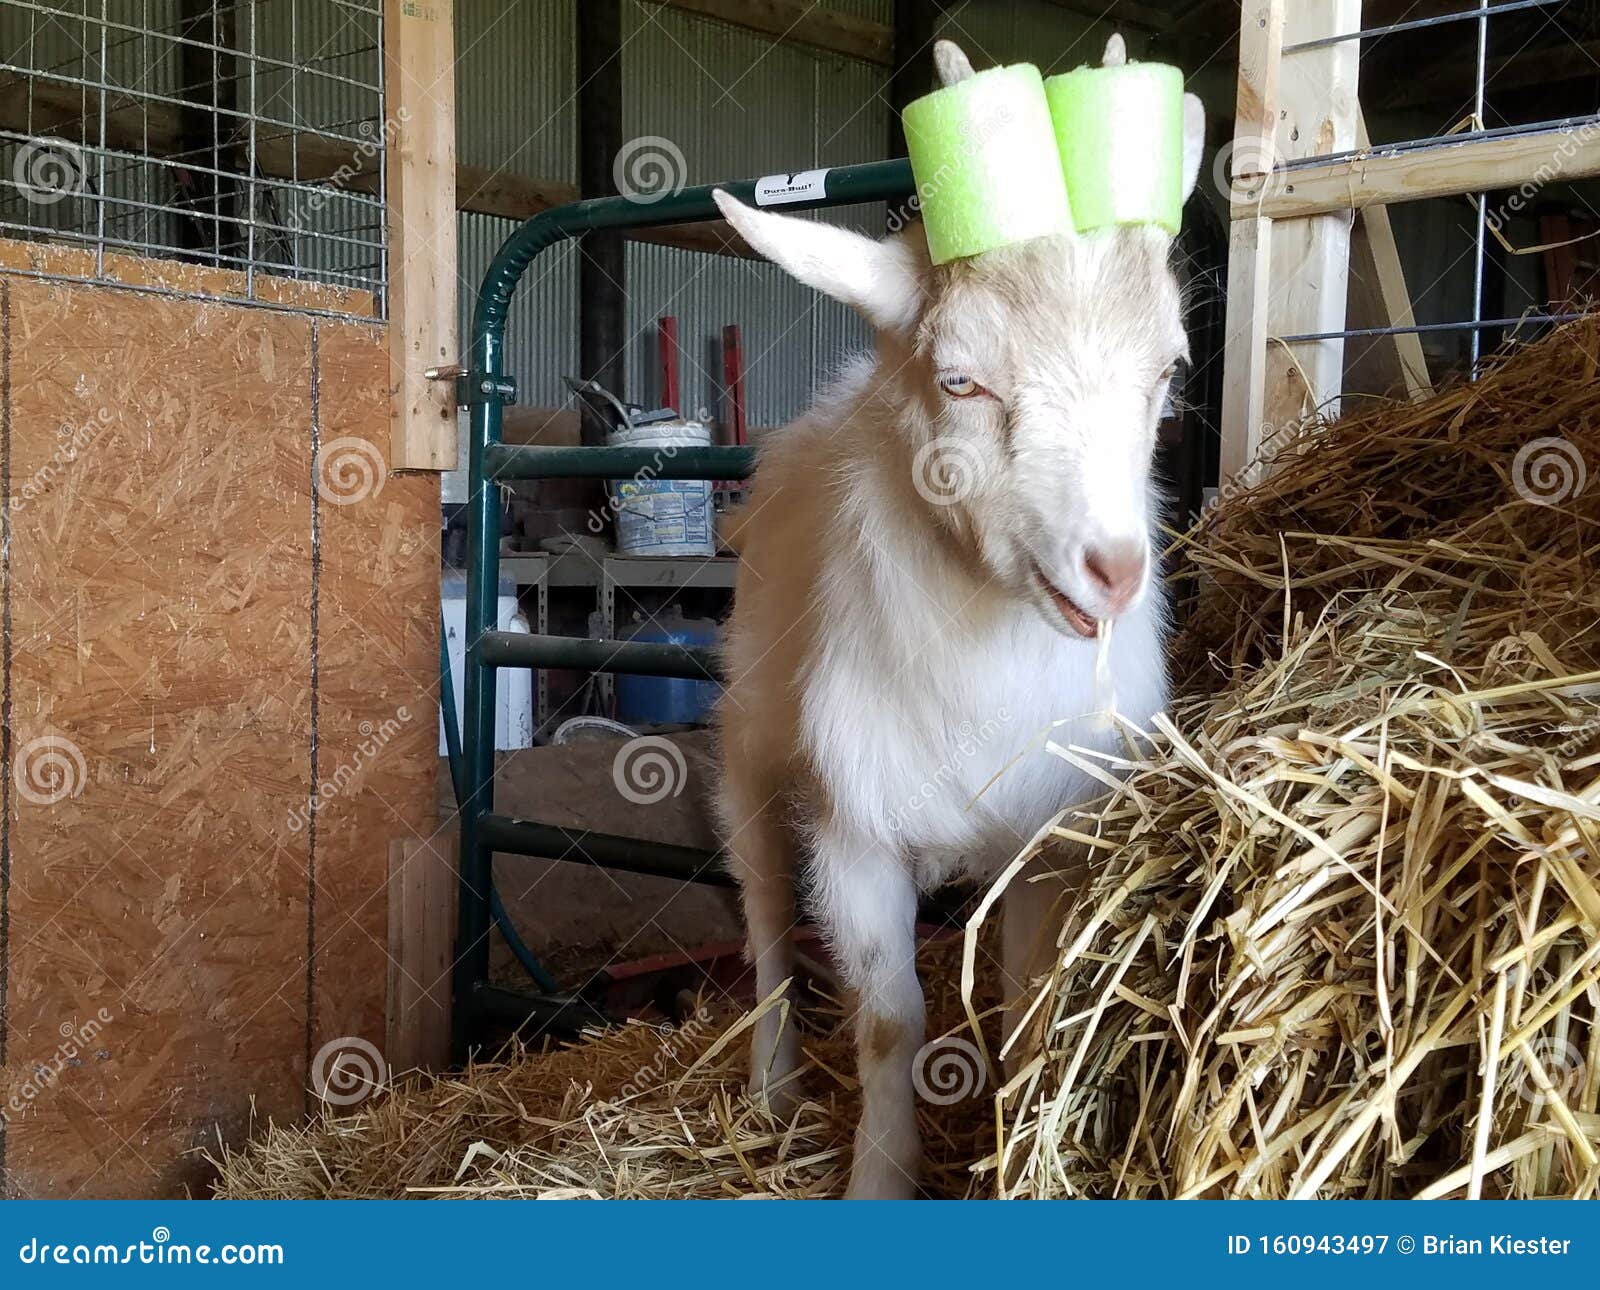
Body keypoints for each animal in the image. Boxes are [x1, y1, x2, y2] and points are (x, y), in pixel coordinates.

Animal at [711, 37, 1204, 1199]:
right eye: (961, 380)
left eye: (1169, 368)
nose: (1113, 569)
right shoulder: (854, 836)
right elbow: (889, 1023)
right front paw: (880, 1177)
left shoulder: (1049, 840)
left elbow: (1029, 1010)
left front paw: (1016, 1145)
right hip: (749, 747)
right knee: (762, 910)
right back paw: (772, 1084)